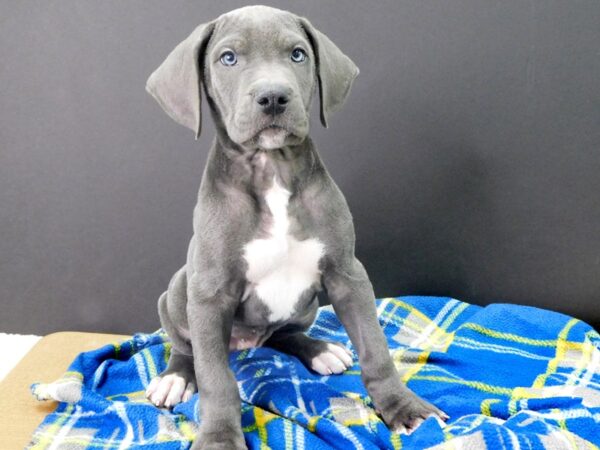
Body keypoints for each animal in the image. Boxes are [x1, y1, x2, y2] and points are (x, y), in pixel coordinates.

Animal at [144, 5, 446, 448]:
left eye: (298, 54)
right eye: (228, 58)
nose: (273, 96)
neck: (272, 170)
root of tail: (247, 342)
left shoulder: (347, 274)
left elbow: (375, 347)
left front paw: (402, 407)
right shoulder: (211, 293)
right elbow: (216, 378)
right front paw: (219, 436)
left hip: (306, 307)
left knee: (285, 334)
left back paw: (319, 349)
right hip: (178, 290)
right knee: (188, 348)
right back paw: (176, 377)